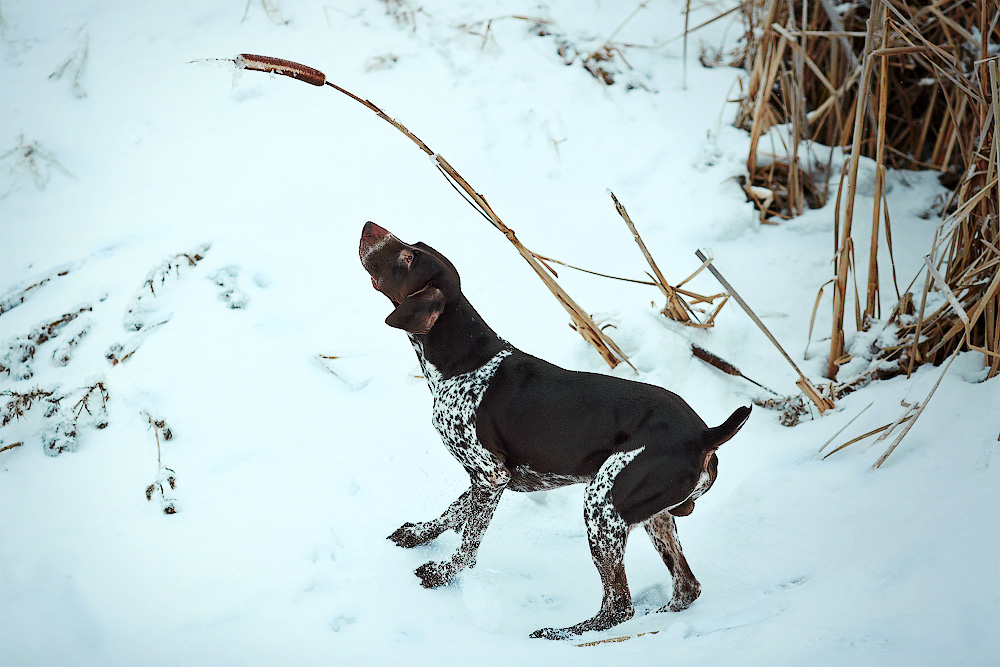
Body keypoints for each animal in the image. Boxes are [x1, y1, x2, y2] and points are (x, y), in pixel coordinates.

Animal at [360, 222, 752, 640]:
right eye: (413, 246)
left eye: (408, 258)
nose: (369, 227)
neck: (464, 361)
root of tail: (704, 435)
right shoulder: (487, 477)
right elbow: (452, 513)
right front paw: (417, 534)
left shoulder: (491, 476)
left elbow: (469, 543)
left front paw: (442, 574)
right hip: (652, 513)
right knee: (686, 587)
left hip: (603, 504)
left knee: (618, 606)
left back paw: (558, 636)